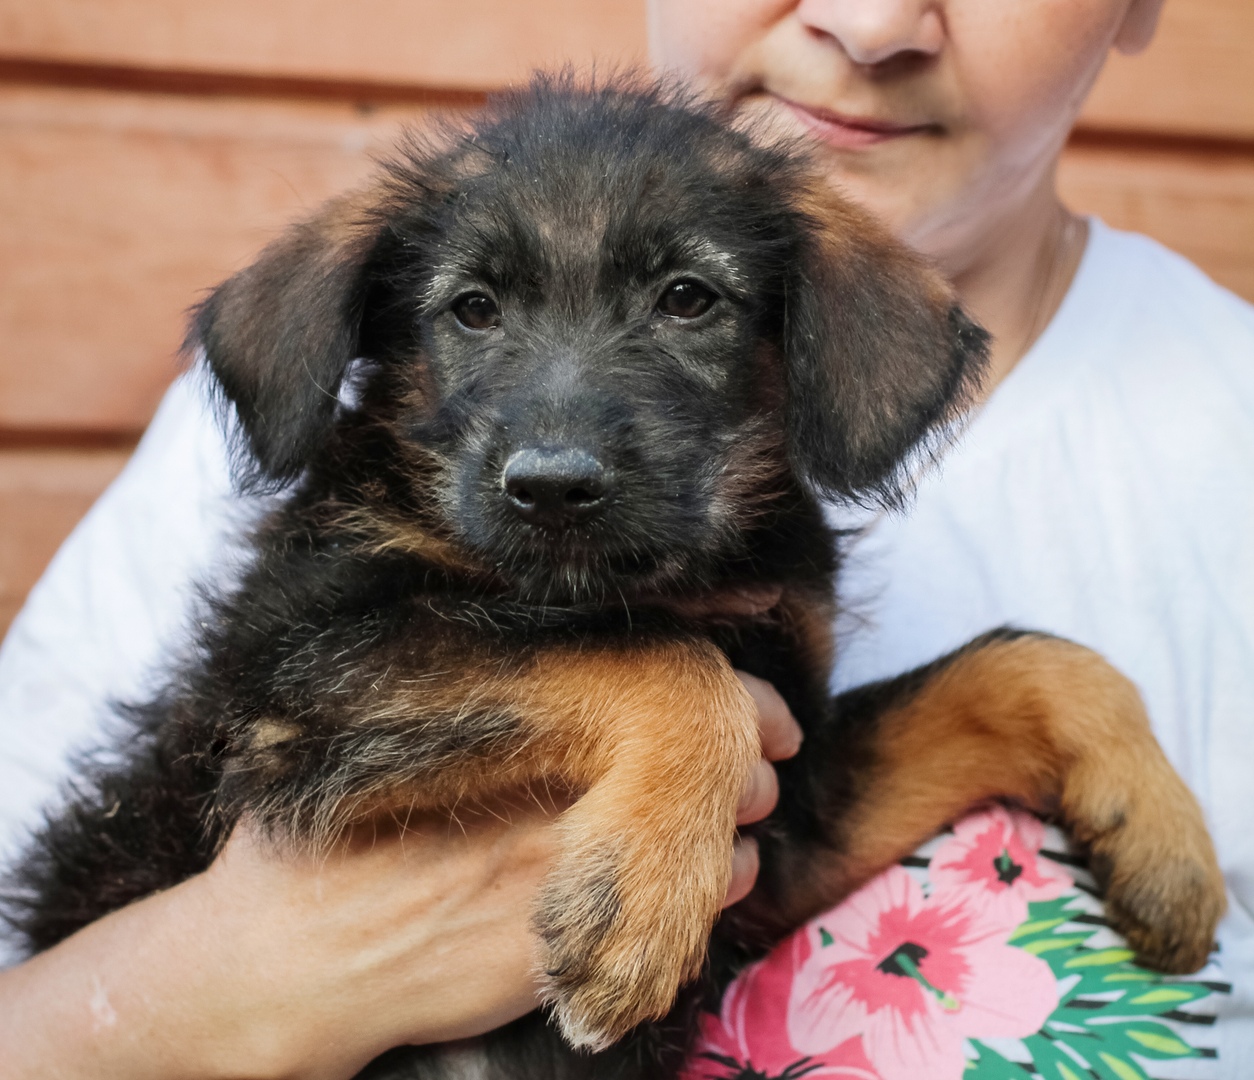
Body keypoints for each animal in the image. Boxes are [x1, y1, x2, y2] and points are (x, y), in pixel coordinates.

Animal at [2, 78, 1223, 1078]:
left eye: (689, 299)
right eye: (472, 308)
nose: (551, 488)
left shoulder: (793, 821)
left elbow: (1031, 663)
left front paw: (1164, 838)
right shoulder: (296, 677)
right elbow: (657, 657)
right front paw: (639, 904)